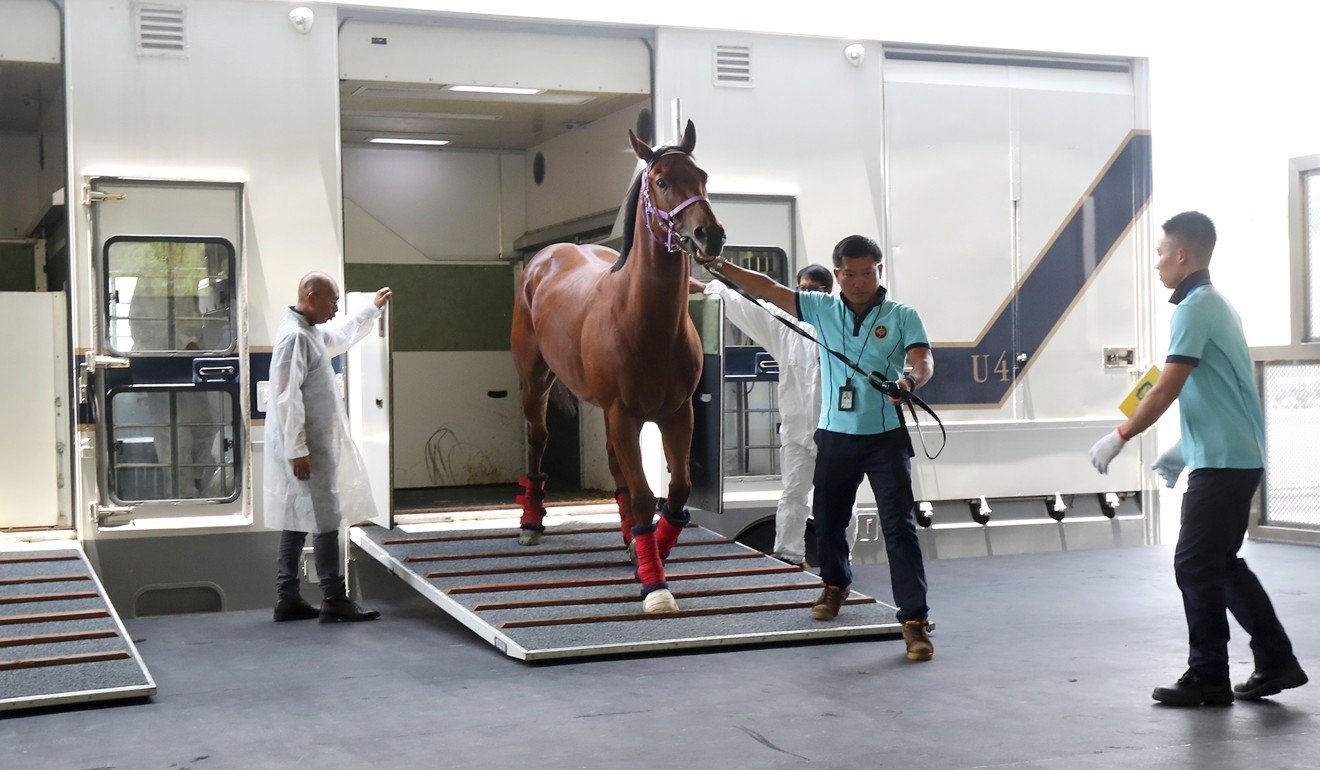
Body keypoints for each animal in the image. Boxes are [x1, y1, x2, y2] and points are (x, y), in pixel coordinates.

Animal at [509, 120, 728, 615]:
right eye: (661, 180)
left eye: (703, 175)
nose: (710, 235)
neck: (643, 321)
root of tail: (546, 255)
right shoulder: (624, 415)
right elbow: (647, 496)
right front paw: (655, 584)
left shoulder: (676, 413)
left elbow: (677, 490)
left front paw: (650, 552)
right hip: (536, 381)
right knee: (538, 437)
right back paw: (531, 522)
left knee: (616, 470)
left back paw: (630, 536)